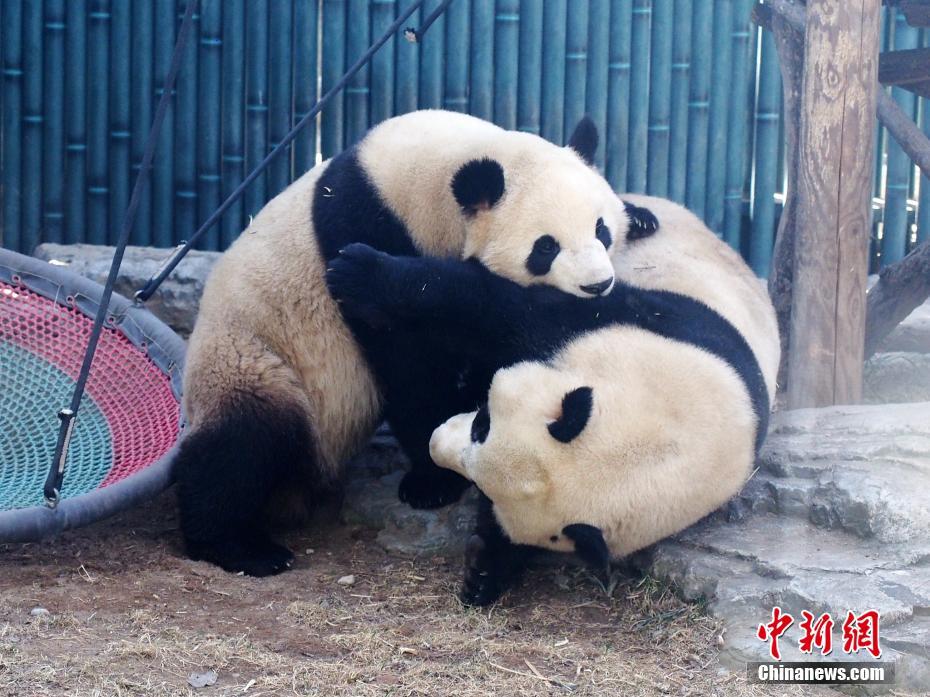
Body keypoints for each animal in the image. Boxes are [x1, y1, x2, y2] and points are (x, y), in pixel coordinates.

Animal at [174, 109, 652, 576]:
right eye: (546, 247)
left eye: (602, 230)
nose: (598, 286)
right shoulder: (361, 227)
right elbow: (407, 361)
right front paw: (434, 479)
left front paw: (642, 215)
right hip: (252, 362)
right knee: (243, 447)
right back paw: (240, 546)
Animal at [324, 197, 776, 604]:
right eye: (483, 421)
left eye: (486, 490)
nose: (437, 442)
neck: (664, 428)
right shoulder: (623, 323)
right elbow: (488, 307)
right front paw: (359, 270)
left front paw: (484, 572)